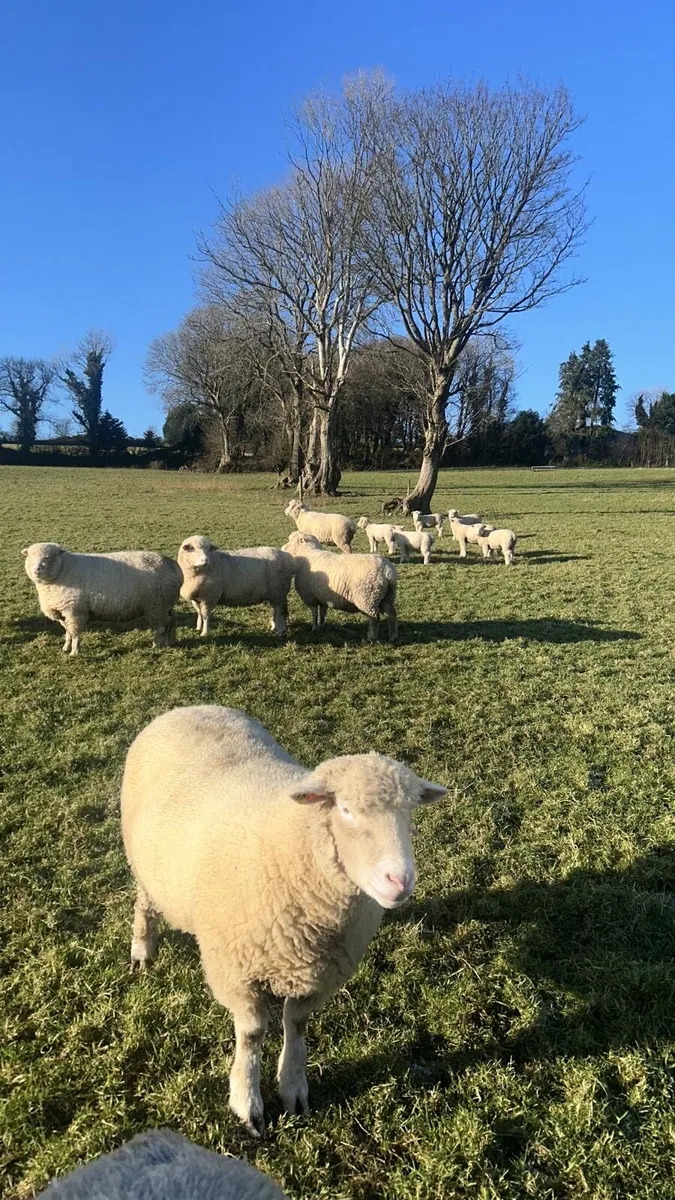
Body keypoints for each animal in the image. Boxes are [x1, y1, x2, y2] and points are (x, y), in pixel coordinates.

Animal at [21, 542, 182, 656]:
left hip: (156, 605)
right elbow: (67, 632)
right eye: (30, 556)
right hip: (165, 604)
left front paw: (74, 652)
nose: (37, 569)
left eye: (48, 557)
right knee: (171, 621)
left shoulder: (75, 611)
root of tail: (175, 567)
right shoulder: (62, 611)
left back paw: (157, 644)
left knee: (161, 627)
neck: (63, 570)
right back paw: (170, 642)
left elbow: (75, 633)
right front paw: (66, 648)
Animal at [121, 705, 447, 1135]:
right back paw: (143, 949)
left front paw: (293, 1087)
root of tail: (189, 707)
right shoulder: (236, 971)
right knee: (144, 904)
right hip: (143, 866)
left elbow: (297, 1024)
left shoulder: (320, 974)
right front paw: (247, 1102)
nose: (400, 880)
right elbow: (252, 1034)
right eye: (345, 810)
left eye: (409, 812)